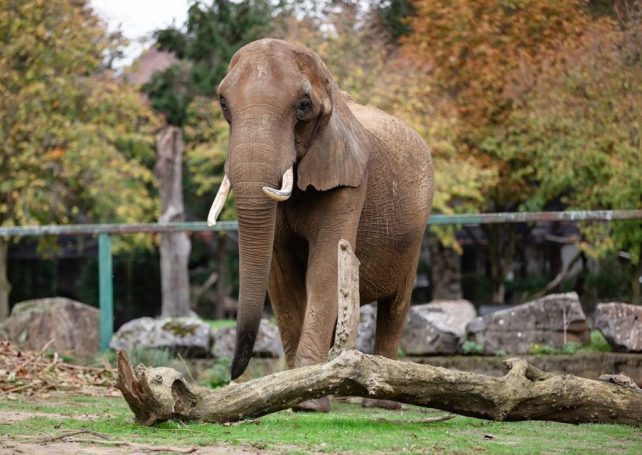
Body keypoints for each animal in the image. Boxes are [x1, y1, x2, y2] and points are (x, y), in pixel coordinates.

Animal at [208, 39, 433, 411]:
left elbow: (326, 266)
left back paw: (380, 403)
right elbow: (281, 278)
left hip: (415, 234)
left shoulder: (351, 179)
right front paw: (291, 392)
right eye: (223, 103)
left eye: (303, 107)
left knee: (396, 304)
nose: (232, 374)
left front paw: (308, 403)